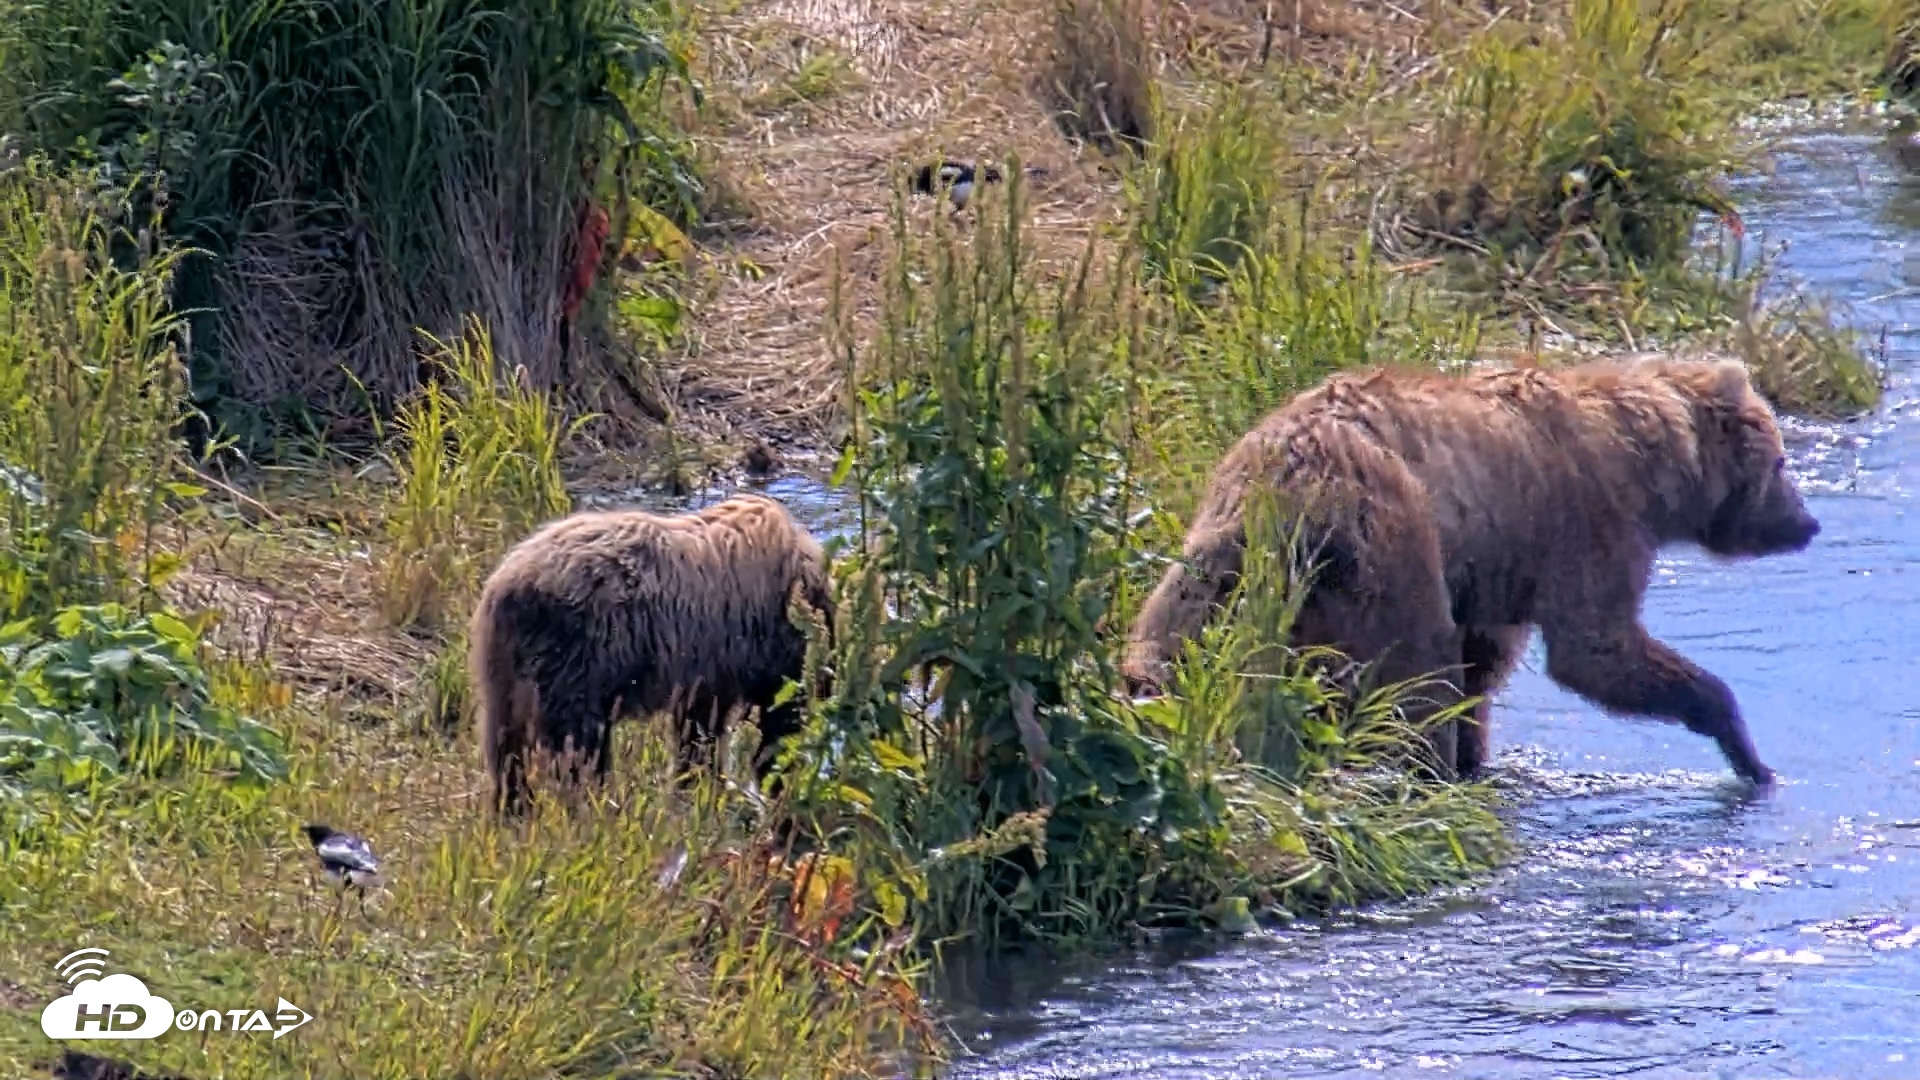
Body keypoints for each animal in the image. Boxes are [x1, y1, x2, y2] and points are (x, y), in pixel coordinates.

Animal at [469, 492, 835, 815]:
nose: (827, 686)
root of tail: (506, 586)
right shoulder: (747, 644)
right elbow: (774, 718)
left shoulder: (710, 666)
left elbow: (700, 726)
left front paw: (700, 784)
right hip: (576, 658)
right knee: (577, 745)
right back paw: (590, 803)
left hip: (503, 674)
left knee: (506, 748)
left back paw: (514, 808)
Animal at [1121, 354, 1821, 790]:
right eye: (1782, 462)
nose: (1808, 524)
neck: (1650, 464)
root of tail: (1292, 479)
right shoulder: (1582, 525)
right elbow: (1596, 649)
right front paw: (1746, 749)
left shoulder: (1499, 566)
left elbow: (1487, 664)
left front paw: (1478, 755)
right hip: (1392, 541)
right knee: (1414, 672)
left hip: (1224, 538)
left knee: (1175, 626)